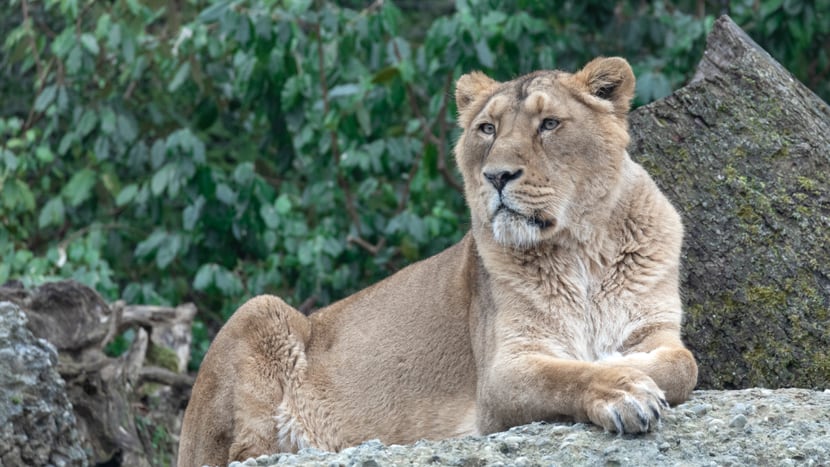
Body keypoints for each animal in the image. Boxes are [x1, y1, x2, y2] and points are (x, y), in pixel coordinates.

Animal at [178, 57, 698, 466]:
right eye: (487, 129)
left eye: (549, 124)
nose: (497, 176)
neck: (580, 249)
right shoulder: (501, 374)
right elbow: (566, 375)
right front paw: (622, 390)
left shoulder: (653, 329)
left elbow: (683, 365)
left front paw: (624, 367)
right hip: (259, 311)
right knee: (247, 453)